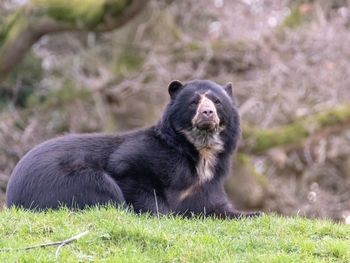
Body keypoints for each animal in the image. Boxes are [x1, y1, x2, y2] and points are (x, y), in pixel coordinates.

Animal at [5, 79, 260, 220]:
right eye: (193, 103)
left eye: (217, 102)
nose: (207, 114)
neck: (199, 152)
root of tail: (11, 194)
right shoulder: (143, 162)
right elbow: (131, 173)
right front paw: (163, 215)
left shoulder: (207, 183)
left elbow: (214, 206)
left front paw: (253, 214)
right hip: (68, 181)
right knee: (104, 187)